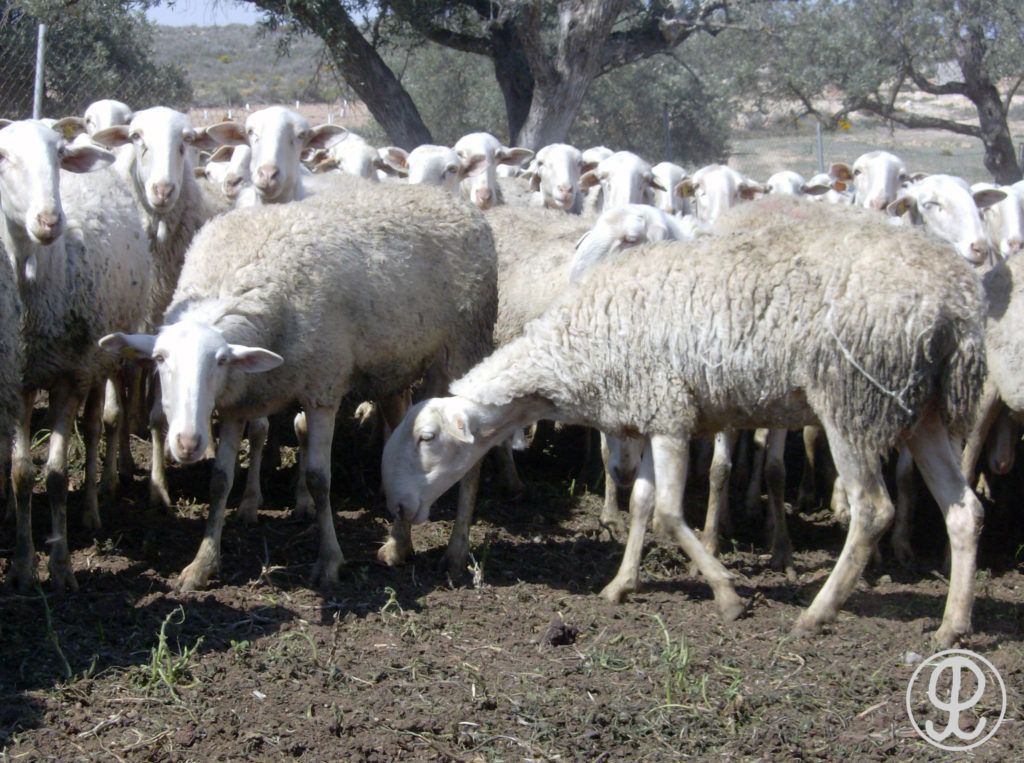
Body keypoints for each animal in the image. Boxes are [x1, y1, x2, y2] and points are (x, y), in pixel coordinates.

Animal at [0, 120, 151, 591]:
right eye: (3, 156)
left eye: (58, 155)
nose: (50, 220)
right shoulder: (17, 380)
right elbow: (22, 474)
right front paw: (22, 565)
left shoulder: (69, 376)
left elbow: (54, 475)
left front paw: (62, 565)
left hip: (98, 360)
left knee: (99, 425)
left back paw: (91, 507)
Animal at [100, 182, 498, 590]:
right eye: (160, 359)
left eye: (220, 360)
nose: (187, 443)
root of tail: (452, 199)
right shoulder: (236, 405)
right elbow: (220, 481)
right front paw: (203, 563)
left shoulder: (323, 386)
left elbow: (319, 480)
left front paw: (330, 560)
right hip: (399, 365)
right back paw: (399, 545)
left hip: (464, 346)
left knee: (472, 456)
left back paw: (456, 552)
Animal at [382, 197, 987, 648]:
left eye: (427, 438)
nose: (397, 508)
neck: (569, 352)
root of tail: (957, 306)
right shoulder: (656, 415)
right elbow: (643, 503)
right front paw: (621, 585)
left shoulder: (670, 413)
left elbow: (671, 512)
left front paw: (727, 594)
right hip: (923, 412)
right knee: (964, 510)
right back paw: (952, 626)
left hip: (853, 401)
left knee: (873, 510)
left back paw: (817, 613)